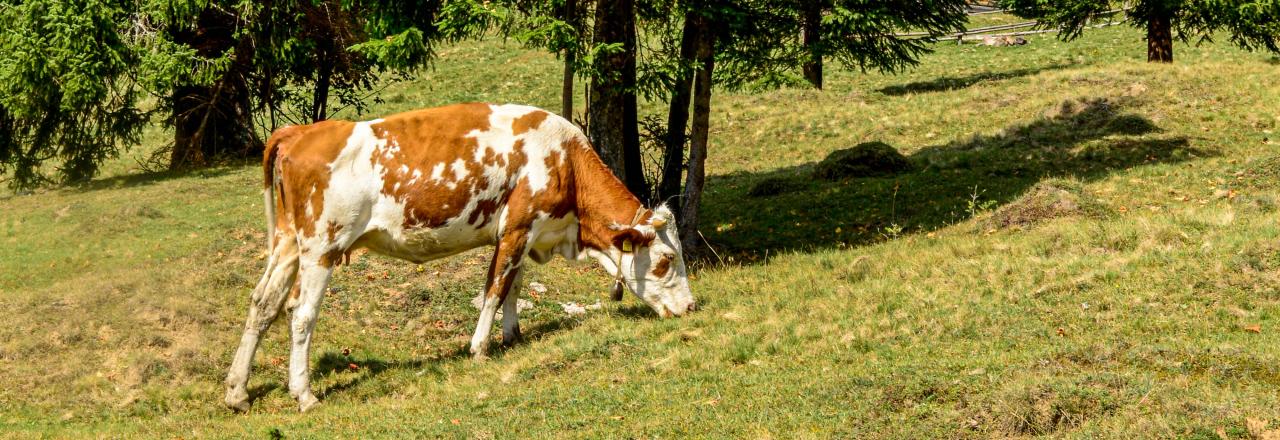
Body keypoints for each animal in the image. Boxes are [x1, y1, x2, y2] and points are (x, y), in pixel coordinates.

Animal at [225, 102, 696, 411]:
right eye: (666, 260)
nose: (691, 306)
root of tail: (301, 132)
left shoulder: (522, 233)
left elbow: (513, 285)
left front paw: (512, 336)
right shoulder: (519, 225)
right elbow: (494, 289)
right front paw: (480, 348)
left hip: (288, 243)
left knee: (262, 304)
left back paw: (237, 391)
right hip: (322, 247)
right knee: (301, 314)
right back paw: (303, 394)